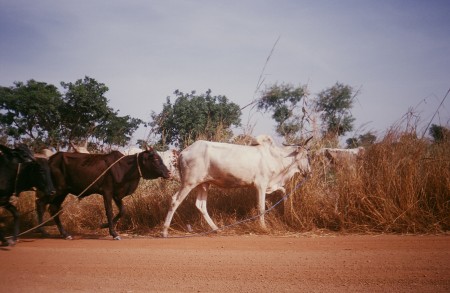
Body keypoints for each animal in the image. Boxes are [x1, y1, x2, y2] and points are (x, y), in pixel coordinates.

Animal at [36, 148, 171, 240]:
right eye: (155, 159)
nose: (169, 173)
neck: (123, 168)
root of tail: (50, 159)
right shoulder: (107, 192)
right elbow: (109, 211)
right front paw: (114, 233)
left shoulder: (117, 195)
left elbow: (122, 211)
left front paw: (104, 225)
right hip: (56, 190)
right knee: (40, 203)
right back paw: (42, 230)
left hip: (62, 192)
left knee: (53, 208)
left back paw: (65, 234)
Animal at [162, 135, 312, 237]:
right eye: (306, 155)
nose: (309, 172)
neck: (276, 158)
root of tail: (182, 153)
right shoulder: (261, 185)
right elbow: (261, 208)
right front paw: (263, 227)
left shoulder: (271, 185)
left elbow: (283, 190)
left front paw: (286, 210)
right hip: (189, 183)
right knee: (175, 200)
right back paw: (164, 231)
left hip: (204, 184)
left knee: (200, 205)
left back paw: (217, 229)